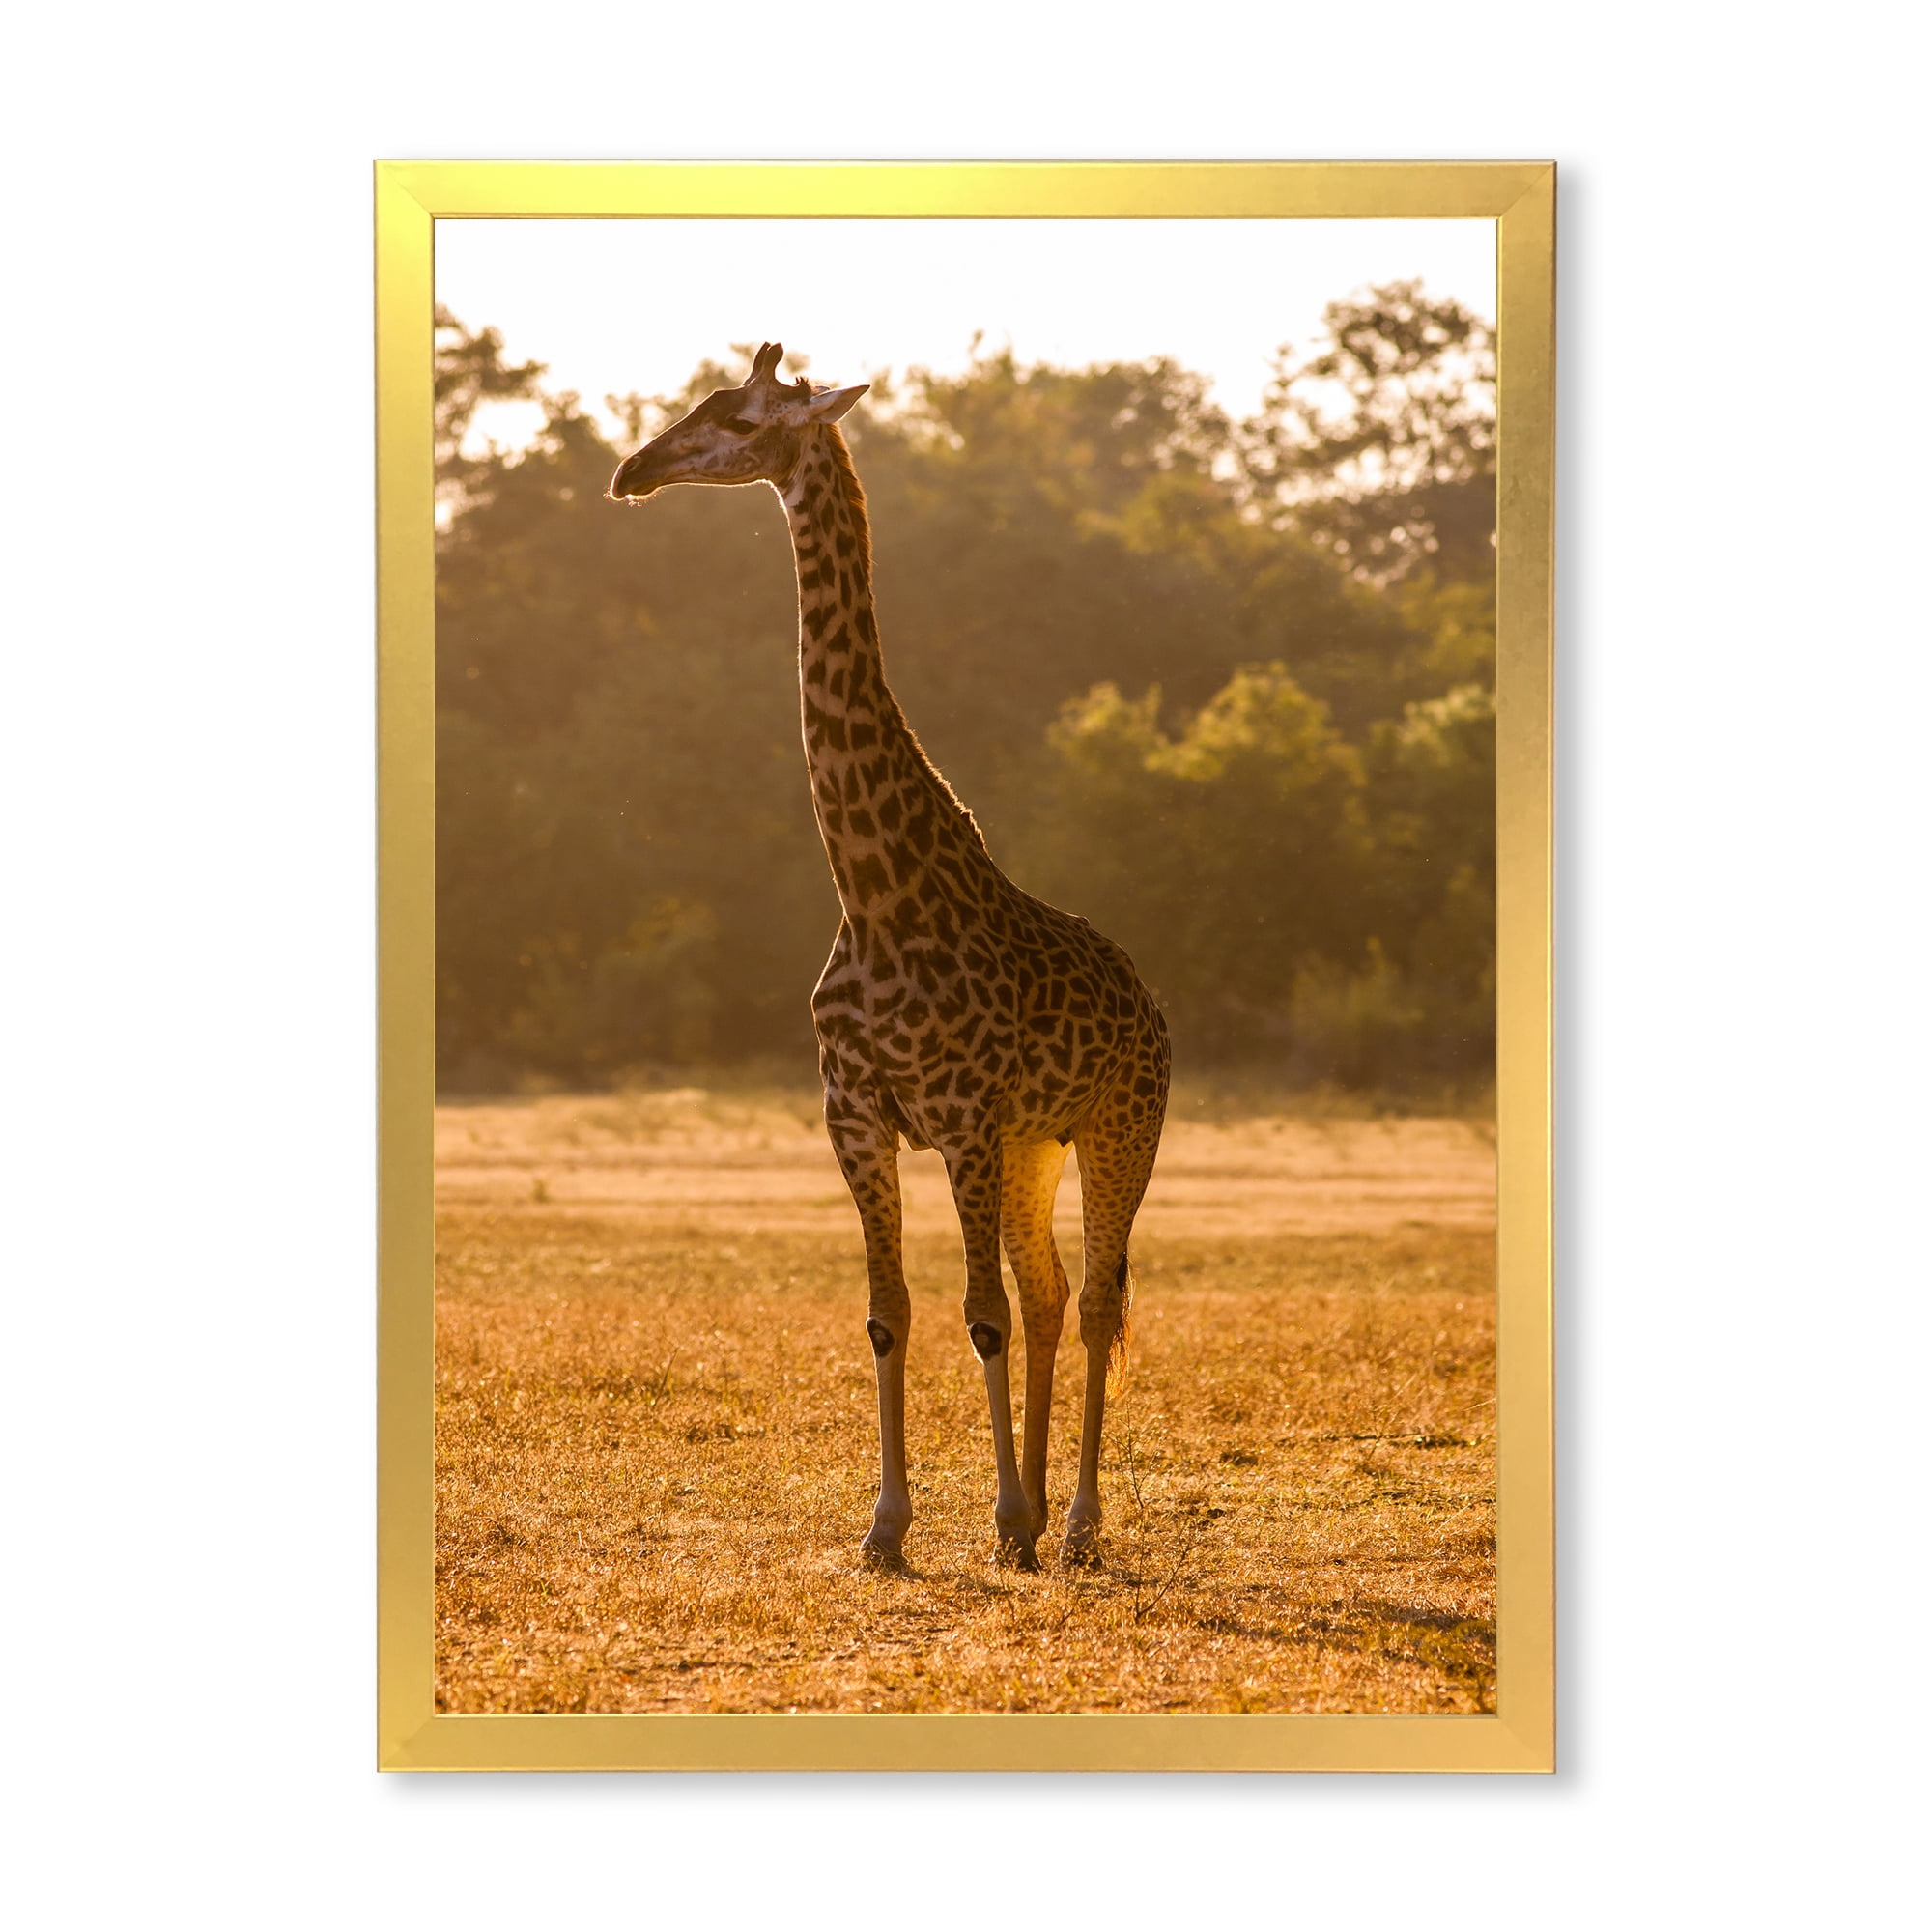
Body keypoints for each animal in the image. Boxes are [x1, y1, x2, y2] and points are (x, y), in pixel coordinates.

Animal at [608, 342, 1169, 1571]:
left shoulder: (956, 1116)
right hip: (1032, 1145)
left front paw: (1000, 1516)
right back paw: (1042, 1508)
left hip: (1118, 1125)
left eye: (739, 418)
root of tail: (1151, 998)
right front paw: (891, 1525)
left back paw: (1073, 1524)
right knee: (1049, 1288)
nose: (632, 470)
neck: (872, 891)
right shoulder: (858, 1116)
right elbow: (891, 1312)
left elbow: (976, 1317)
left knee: (1094, 1299)